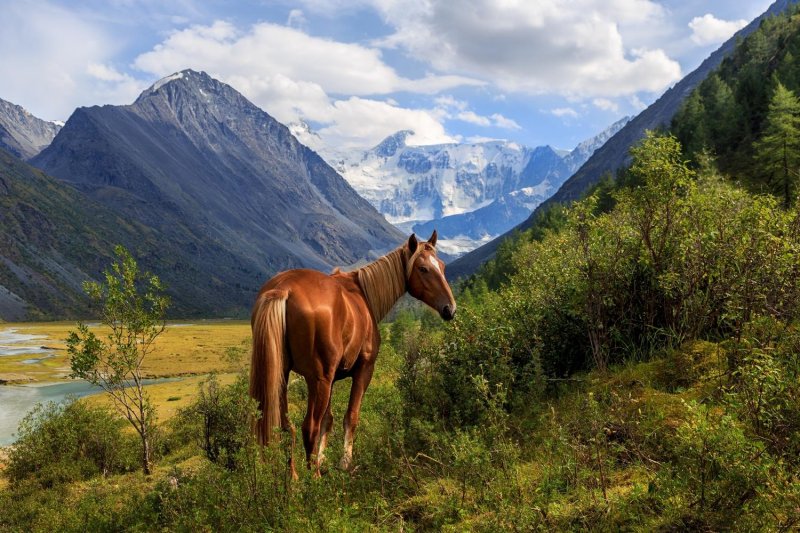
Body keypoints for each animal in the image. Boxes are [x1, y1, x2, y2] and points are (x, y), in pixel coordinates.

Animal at [247, 231, 456, 476]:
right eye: (423, 268)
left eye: (442, 266)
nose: (450, 308)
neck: (364, 294)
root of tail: (283, 288)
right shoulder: (363, 370)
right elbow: (350, 417)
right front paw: (344, 463)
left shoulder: (331, 379)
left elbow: (328, 421)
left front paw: (323, 461)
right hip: (318, 380)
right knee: (309, 427)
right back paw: (312, 478)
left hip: (283, 375)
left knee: (285, 426)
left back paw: (294, 478)